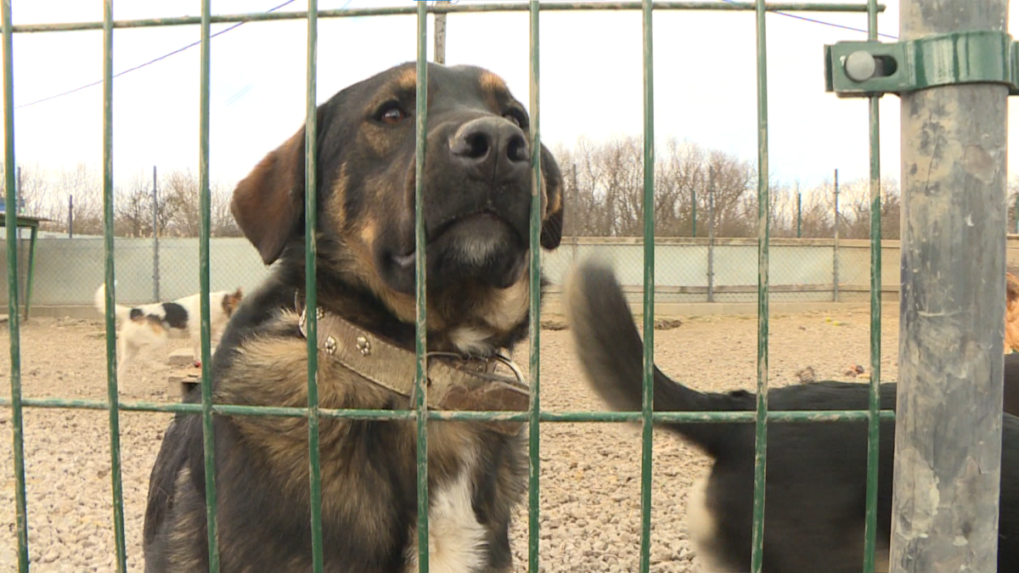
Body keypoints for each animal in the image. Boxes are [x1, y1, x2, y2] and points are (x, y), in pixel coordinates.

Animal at [95, 281, 246, 375]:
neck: (220, 305)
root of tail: (134, 311)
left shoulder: (211, 332)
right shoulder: (197, 334)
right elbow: (198, 351)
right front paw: (199, 362)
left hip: (129, 350)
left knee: (121, 369)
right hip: (158, 340)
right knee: (144, 356)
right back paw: (160, 367)